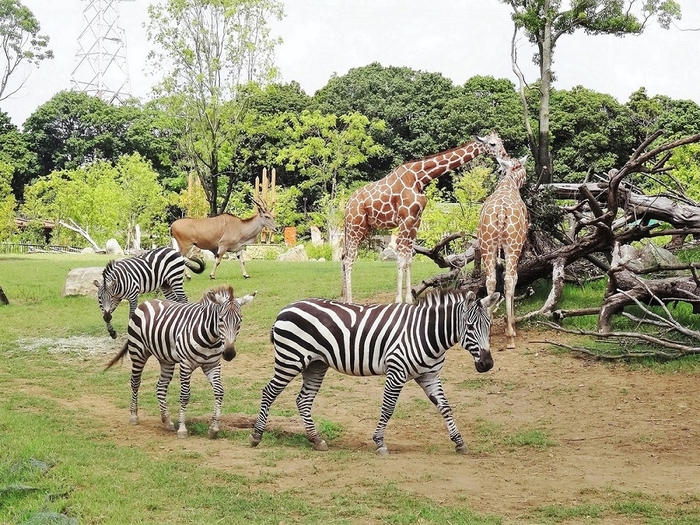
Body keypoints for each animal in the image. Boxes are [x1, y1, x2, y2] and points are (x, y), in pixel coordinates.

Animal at [104, 284, 258, 440]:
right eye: (220, 319)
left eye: (240, 320)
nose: (229, 353)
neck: (211, 339)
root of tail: (147, 302)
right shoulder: (186, 364)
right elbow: (185, 395)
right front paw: (183, 429)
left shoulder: (213, 365)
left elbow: (219, 391)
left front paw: (214, 428)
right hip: (138, 351)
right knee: (135, 382)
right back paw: (134, 416)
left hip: (165, 359)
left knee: (160, 386)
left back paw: (167, 421)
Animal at [249, 290, 500, 454]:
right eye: (470, 327)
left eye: (489, 326)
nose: (487, 364)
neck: (426, 332)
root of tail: (285, 308)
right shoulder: (396, 372)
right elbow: (388, 409)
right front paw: (379, 442)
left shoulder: (429, 376)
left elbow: (445, 407)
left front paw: (459, 441)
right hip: (290, 359)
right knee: (268, 392)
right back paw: (256, 435)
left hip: (315, 364)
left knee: (303, 400)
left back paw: (316, 440)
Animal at [342, 131, 506, 302]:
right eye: (493, 144)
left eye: (501, 142)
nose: (504, 155)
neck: (419, 178)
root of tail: (347, 205)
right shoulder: (405, 219)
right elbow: (401, 259)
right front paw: (399, 300)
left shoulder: (415, 221)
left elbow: (409, 259)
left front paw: (409, 299)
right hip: (355, 227)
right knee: (348, 260)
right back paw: (349, 301)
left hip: (362, 228)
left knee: (343, 257)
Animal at [476, 156, 532, 350]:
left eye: (500, 169)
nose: (526, 179)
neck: (509, 182)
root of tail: (501, 212)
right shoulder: (518, 245)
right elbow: (514, 279)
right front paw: (512, 324)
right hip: (512, 245)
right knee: (508, 280)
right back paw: (510, 338)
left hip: (487, 245)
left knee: (491, 280)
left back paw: (488, 329)